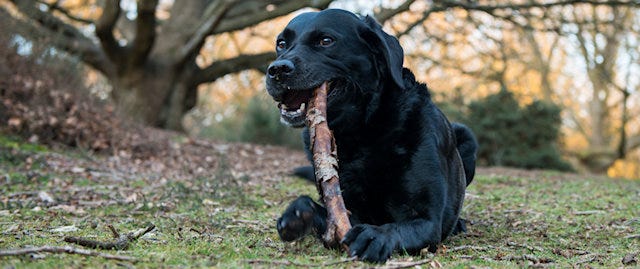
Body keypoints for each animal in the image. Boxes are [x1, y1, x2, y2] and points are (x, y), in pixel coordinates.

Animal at [262, 8, 478, 262]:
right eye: (281, 44)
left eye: (326, 41)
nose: (277, 69)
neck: (361, 132)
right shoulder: (348, 209)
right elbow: (323, 212)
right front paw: (299, 214)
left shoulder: (427, 219)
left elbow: (395, 227)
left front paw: (374, 236)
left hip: (466, 137)